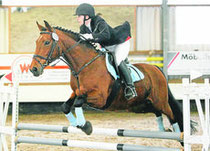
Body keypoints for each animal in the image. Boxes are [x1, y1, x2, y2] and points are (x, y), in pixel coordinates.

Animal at [29, 20, 195, 142]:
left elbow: (78, 102)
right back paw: (162, 131)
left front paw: (85, 126)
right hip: (139, 105)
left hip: (160, 101)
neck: (85, 65)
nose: (34, 69)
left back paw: (179, 137)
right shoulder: (76, 91)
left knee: (172, 116)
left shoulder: (100, 98)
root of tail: (156, 68)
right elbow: (65, 106)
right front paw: (76, 124)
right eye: (36, 42)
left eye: (46, 43)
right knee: (157, 112)